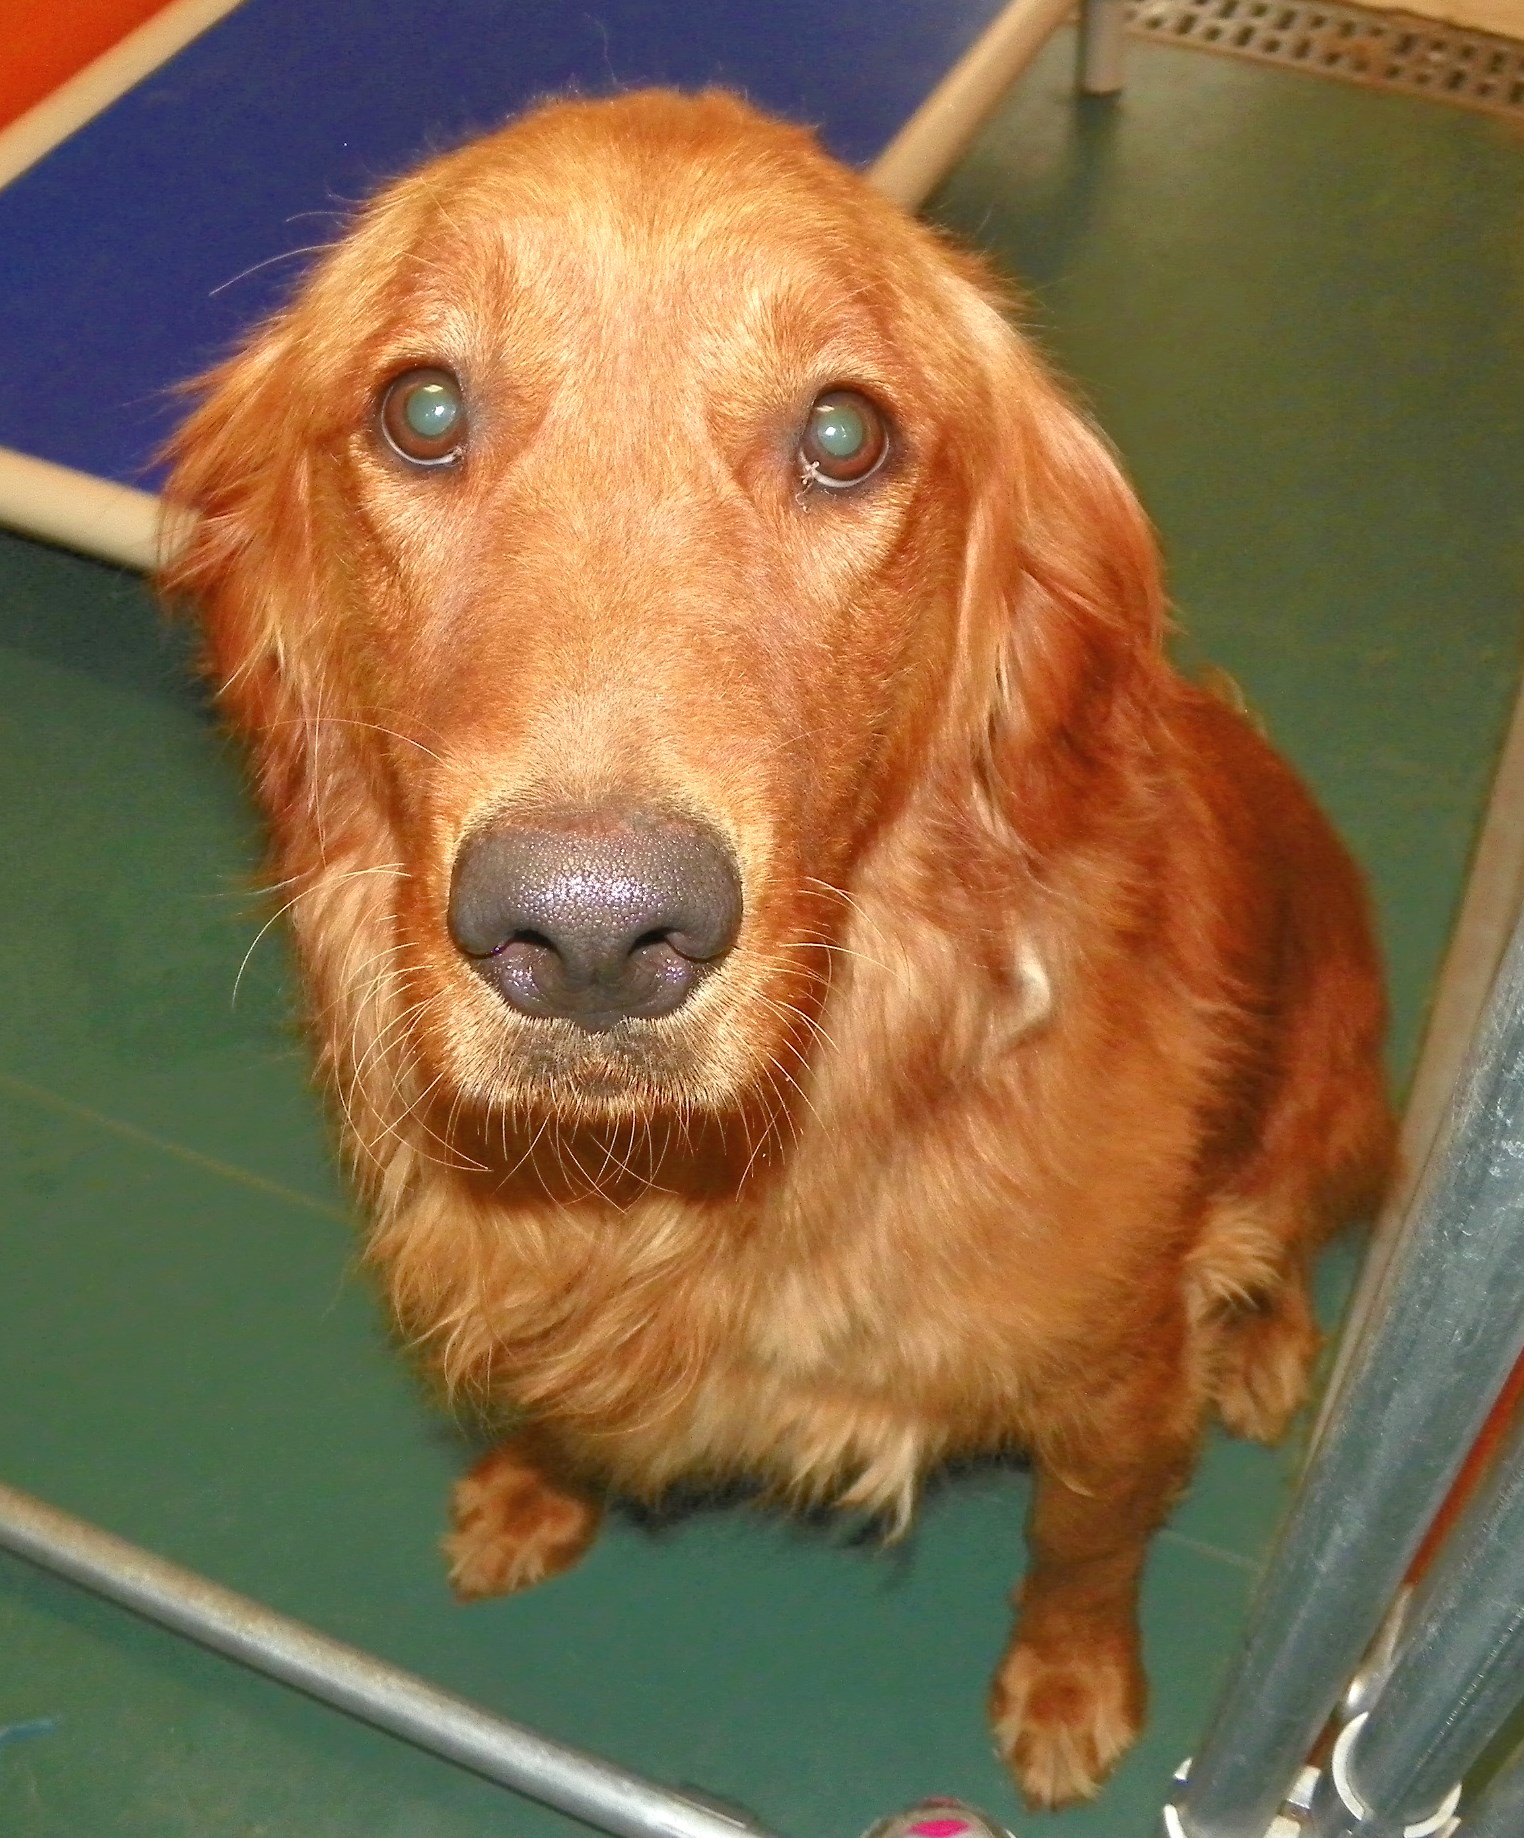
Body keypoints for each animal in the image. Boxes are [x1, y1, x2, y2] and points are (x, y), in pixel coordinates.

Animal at [163, 89, 1389, 1808]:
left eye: (842, 436)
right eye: (422, 409)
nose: (592, 930)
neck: (696, 1194)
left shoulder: (1117, 1382)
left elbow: (1081, 1546)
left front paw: (1071, 1684)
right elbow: (555, 1395)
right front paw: (535, 1486)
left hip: (1330, 1104)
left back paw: (1273, 1348)